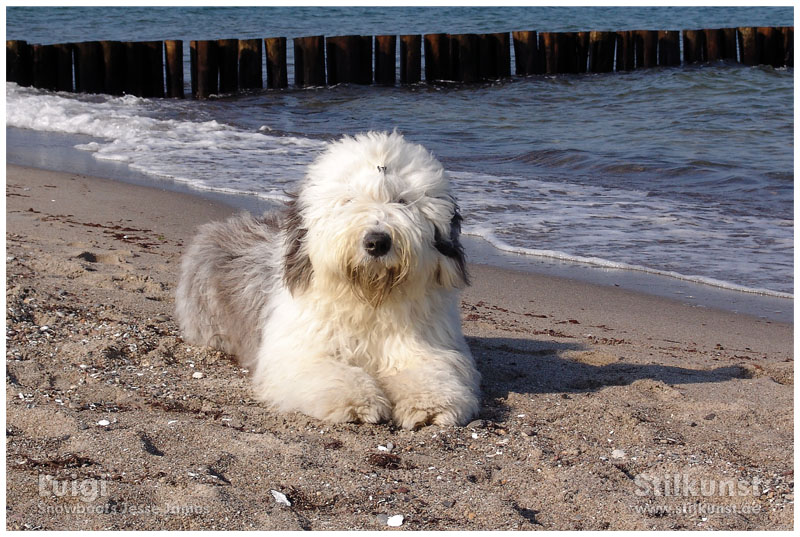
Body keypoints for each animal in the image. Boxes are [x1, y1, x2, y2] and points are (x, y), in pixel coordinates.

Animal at [176, 131, 478, 428]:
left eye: (402, 201)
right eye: (349, 200)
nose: (377, 242)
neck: (369, 301)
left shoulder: (426, 346)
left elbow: (432, 371)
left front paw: (430, 404)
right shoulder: (300, 350)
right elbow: (329, 372)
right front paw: (357, 400)